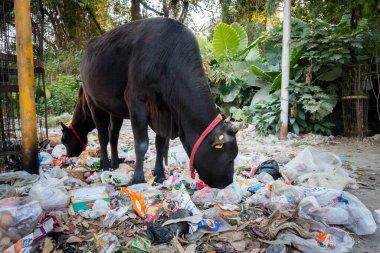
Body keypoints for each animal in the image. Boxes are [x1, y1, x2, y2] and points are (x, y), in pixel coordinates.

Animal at [60, 17, 239, 188]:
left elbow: (160, 143)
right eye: (230, 155)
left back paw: (115, 162)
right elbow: (141, 143)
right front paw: (138, 178)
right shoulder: (136, 102)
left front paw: (159, 174)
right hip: (94, 102)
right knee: (103, 135)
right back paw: (105, 164)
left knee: (113, 135)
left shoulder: (164, 111)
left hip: (115, 109)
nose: (228, 182)